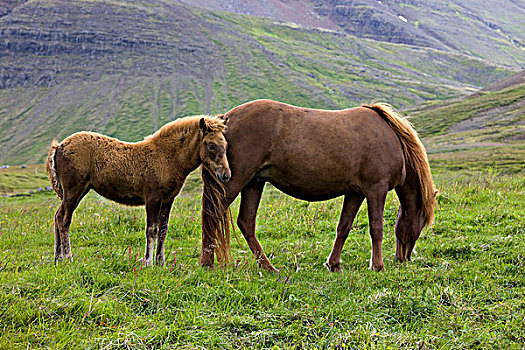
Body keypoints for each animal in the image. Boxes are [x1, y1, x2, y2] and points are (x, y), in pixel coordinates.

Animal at [46, 115, 230, 266]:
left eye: (225, 144)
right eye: (211, 145)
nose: (226, 175)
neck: (167, 157)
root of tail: (60, 146)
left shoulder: (168, 200)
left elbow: (163, 230)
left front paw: (160, 262)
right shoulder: (153, 199)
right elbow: (152, 230)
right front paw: (148, 262)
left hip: (76, 192)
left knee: (57, 216)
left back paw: (57, 258)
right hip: (74, 191)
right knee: (64, 220)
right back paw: (68, 257)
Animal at [201, 98, 434, 270]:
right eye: (422, 222)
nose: (404, 258)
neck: (391, 138)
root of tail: (225, 120)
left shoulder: (355, 193)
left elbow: (344, 227)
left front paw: (334, 264)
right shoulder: (376, 190)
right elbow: (376, 228)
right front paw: (377, 266)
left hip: (253, 183)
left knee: (246, 222)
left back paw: (267, 267)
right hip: (234, 181)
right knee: (213, 214)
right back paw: (207, 263)